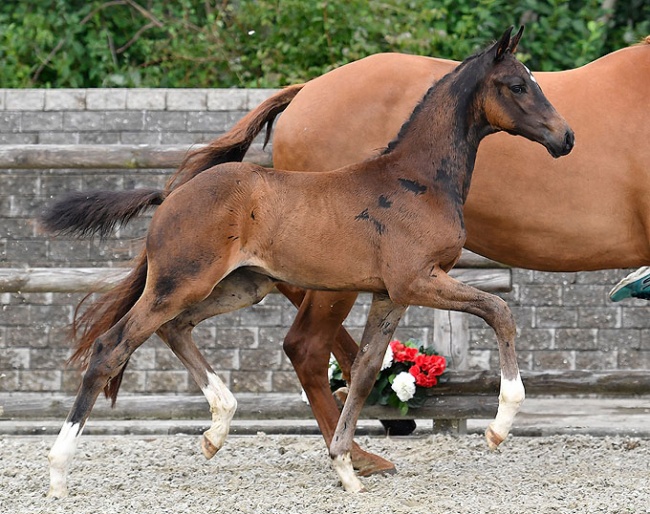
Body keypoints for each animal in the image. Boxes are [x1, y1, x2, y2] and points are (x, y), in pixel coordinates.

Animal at [43, 27, 568, 492]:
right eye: (518, 84)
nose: (566, 138)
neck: (417, 179)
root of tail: (170, 195)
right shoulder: (417, 280)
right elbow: (499, 311)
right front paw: (500, 424)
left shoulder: (389, 294)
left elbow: (365, 372)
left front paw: (345, 468)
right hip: (180, 282)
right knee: (112, 346)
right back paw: (59, 471)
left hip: (239, 286)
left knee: (174, 329)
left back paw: (217, 428)